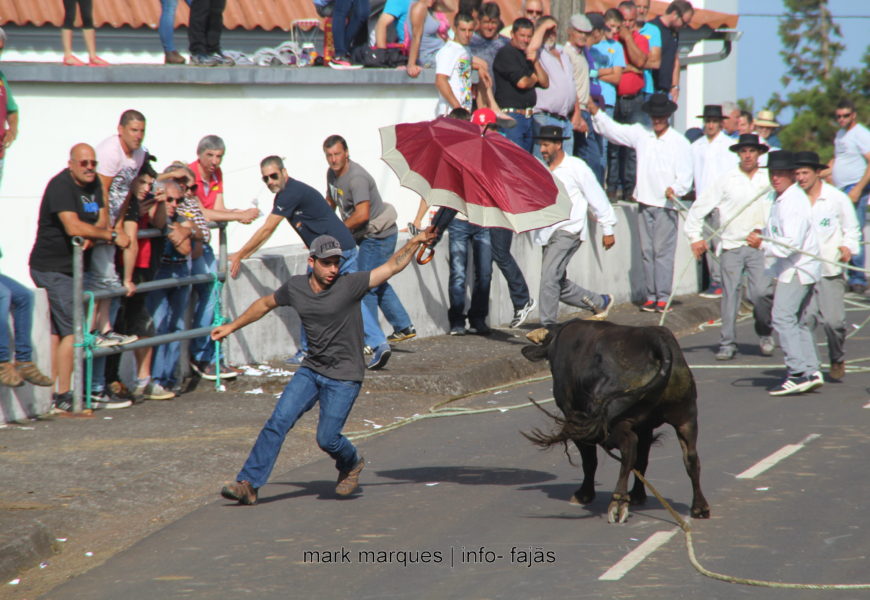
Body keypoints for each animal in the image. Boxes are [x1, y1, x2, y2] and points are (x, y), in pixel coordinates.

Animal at [520, 322, 712, 524]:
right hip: (686, 417)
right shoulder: (645, 427)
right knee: (690, 457)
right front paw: (638, 495)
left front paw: (584, 494)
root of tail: (655, 340)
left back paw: (618, 502)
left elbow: (590, 461)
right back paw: (699, 507)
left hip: (616, 422)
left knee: (629, 447)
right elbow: (642, 460)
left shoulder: (576, 419)